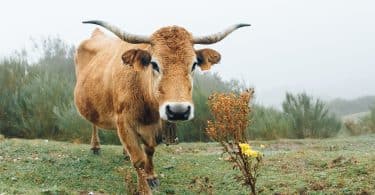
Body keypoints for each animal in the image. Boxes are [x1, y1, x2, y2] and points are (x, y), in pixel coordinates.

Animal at [74, 19, 250, 193]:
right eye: (154, 64)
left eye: (194, 64)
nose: (178, 111)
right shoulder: (124, 123)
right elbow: (139, 160)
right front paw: (144, 189)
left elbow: (149, 152)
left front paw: (151, 176)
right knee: (93, 124)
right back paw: (95, 147)